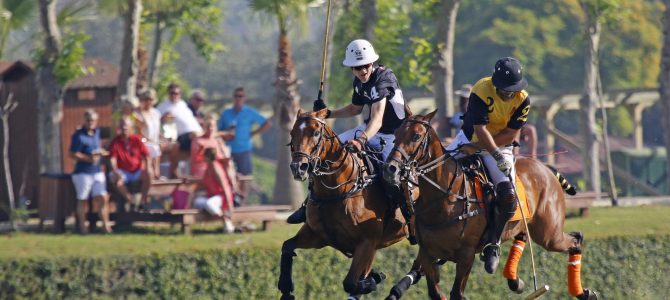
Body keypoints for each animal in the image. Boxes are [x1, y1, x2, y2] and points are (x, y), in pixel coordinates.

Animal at [280, 109, 410, 300]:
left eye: (316, 133)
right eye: (292, 133)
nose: (299, 167)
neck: (336, 191)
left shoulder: (367, 242)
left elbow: (351, 282)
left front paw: (373, 280)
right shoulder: (317, 235)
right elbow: (287, 247)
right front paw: (286, 289)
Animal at [384, 110, 600, 300]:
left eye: (416, 135)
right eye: (396, 134)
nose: (390, 168)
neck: (443, 198)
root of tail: (546, 168)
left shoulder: (466, 256)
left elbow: (456, 294)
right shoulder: (427, 253)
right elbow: (436, 293)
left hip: (549, 233)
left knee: (576, 239)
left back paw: (583, 292)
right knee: (524, 236)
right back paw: (516, 280)